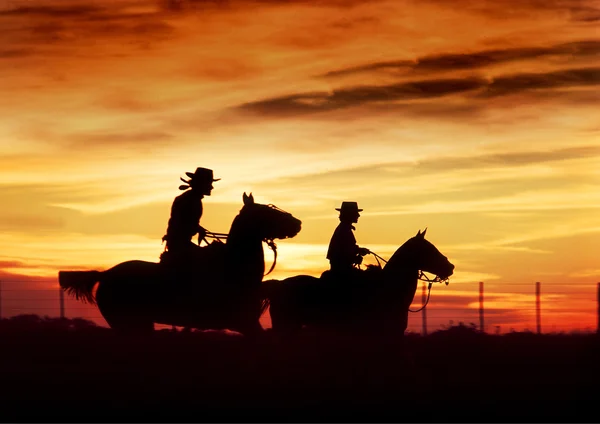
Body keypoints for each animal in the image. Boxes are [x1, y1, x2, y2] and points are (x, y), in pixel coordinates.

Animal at [59, 192, 302, 334]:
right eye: (267, 210)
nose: (297, 223)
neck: (234, 269)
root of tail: (105, 274)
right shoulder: (244, 323)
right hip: (127, 323)